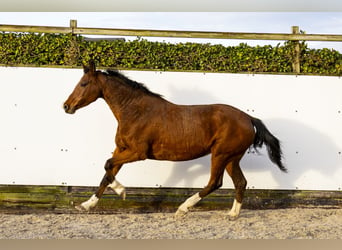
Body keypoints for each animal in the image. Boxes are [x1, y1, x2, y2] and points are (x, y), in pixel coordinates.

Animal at [63, 61, 286, 219]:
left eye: (83, 83)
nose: (66, 106)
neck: (134, 111)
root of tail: (248, 118)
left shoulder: (138, 152)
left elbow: (107, 165)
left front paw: (122, 192)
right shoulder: (121, 149)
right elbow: (107, 173)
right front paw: (86, 205)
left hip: (221, 154)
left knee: (215, 182)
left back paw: (183, 208)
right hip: (232, 157)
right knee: (240, 182)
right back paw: (232, 214)